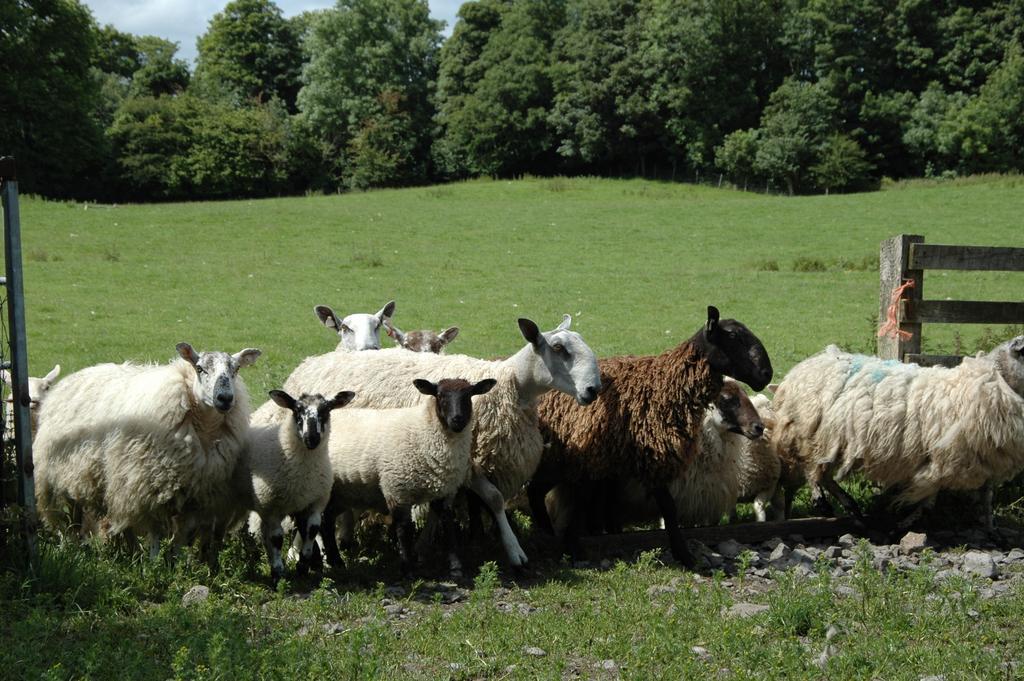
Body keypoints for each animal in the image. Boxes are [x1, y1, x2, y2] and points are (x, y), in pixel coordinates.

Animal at [34, 342, 262, 557]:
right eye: (199, 368)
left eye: (236, 369)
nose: (225, 398)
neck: (204, 428)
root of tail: (74, 376)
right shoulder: (149, 486)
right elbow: (155, 534)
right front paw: (154, 564)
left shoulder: (193, 493)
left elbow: (180, 536)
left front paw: (177, 565)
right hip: (60, 478)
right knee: (68, 518)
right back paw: (69, 546)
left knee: (116, 522)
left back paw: (130, 551)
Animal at [323, 374, 491, 569]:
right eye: (440, 395)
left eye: (469, 395)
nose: (457, 420)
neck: (423, 429)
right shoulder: (397, 489)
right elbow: (404, 531)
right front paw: (407, 566)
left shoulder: (446, 491)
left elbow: (448, 526)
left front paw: (455, 565)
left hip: (343, 494)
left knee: (326, 520)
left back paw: (336, 562)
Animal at [532, 305, 770, 565]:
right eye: (733, 335)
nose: (767, 374)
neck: (665, 387)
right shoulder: (640, 460)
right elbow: (666, 507)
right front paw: (685, 556)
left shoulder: (617, 468)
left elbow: (604, 507)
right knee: (535, 491)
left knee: (537, 491)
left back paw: (546, 533)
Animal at [770, 337, 1024, 528]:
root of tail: (809, 363)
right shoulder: (944, 459)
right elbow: (930, 493)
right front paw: (906, 521)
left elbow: (980, 496)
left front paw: (990, 528)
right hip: (811, 433)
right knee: (811, 467)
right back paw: (822, 501)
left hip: (833, 440)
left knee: (823, 473)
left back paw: (850, 507)